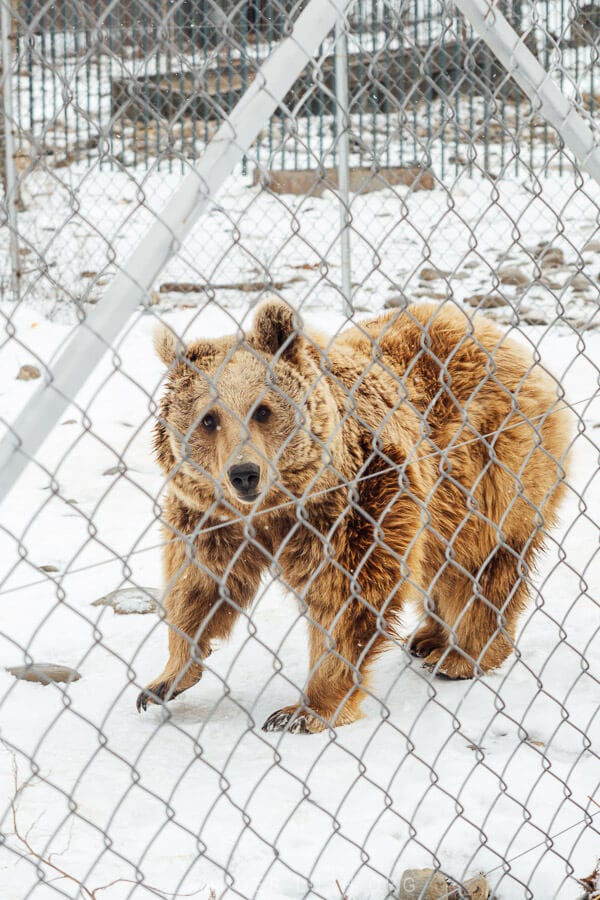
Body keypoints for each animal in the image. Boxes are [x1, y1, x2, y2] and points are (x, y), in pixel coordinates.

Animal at [137, 298, 572, 736]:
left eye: (262, 410)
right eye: (208, 419)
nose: (244, 473)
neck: (277, 506)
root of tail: (496, 333)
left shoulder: (360, 494)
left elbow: (348, 593)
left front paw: (304, 710)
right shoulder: (210, 513)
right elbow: (198, 582)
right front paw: (165, 680)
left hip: (491, 468)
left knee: (482, 563)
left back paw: (461, 656)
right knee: (440, 563)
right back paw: (429, 637)